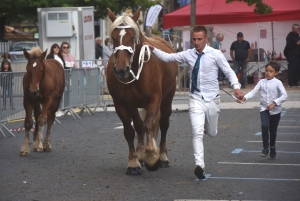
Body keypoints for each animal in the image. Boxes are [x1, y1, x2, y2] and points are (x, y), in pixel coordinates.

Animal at [106, 7, 178, 174]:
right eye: (113, 37)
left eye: (132, 37)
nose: (121, 69)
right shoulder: (122, 104)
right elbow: (130, 129)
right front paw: (134, 161)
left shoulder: (155, 99)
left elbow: (149, 124)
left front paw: (152, 157)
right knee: (138, 126)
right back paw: (140, 154)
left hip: (167, 100)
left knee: (163, 124)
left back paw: (162, 156)